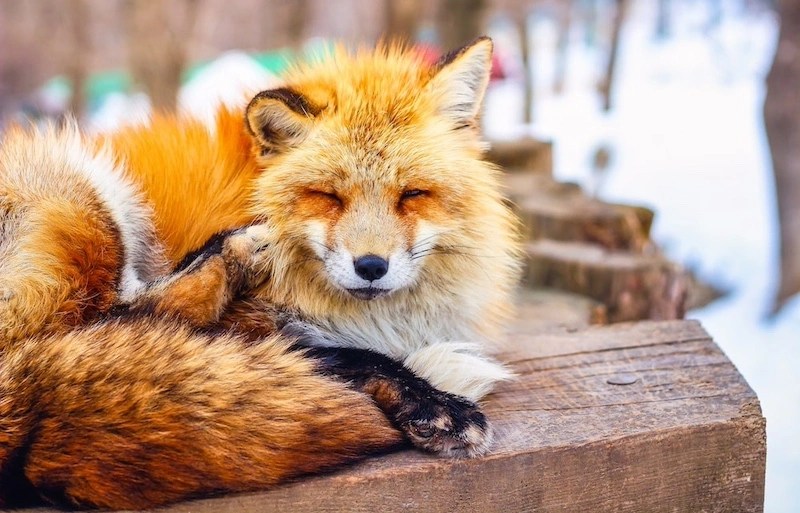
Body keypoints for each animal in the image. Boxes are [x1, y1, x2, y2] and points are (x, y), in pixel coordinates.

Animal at [0, 37, 521, 508]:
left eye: (412, 194)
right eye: (328, 196)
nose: (371, 266)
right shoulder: (256, 324)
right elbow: (357, 357)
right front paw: (435, 403)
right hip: (82, 196)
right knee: (99, 323)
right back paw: (228, 256)